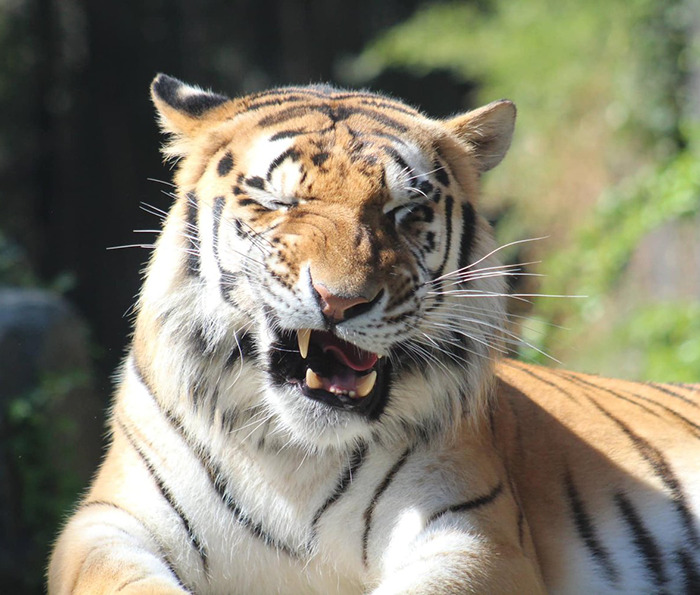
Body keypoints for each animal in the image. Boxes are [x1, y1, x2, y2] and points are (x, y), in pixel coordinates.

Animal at [50, 75, 700, 595]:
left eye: (403, 212)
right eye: (278, 202)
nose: (340, 301)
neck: (294, 458)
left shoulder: (475, 533)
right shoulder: (106, 524)